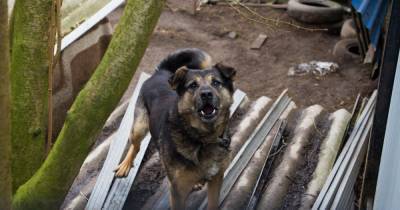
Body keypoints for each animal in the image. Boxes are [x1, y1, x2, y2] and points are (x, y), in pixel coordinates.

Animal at [114, 48, 236, 209]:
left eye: (216, 83)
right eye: (193, 85)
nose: (206, 94)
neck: (204, 138)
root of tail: (161, 72)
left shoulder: (216, 179)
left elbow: (213, 203)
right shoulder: (178, 191)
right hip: (139, 127)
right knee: (135, 146)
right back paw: (126, 165)